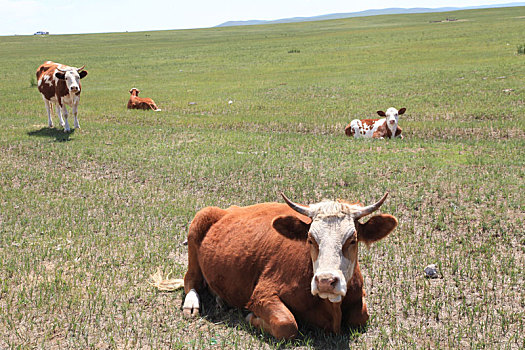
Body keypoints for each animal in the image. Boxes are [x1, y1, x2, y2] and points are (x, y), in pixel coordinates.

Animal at [149, 191, 396, 340]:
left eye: (352, 240)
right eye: (310, 239)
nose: (326, 282)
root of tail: (228, 209)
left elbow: (361, 317)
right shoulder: (262, 294)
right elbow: (287, 325)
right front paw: (251, 318)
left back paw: (221, 299)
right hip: (197, 227)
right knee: (190, 279)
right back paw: (192, 303)